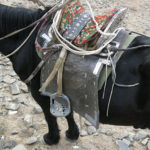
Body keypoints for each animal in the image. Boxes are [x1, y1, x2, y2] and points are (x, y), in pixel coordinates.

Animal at [0, 4, 150, 145]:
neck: (26, 38)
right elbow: (68, 111)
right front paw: (72, 133)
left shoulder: (39, 92)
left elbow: (49, 116)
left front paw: (52, 138)